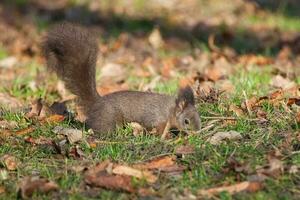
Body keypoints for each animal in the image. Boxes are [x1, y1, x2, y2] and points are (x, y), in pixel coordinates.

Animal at [41, 23, 202, 136]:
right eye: (186, 121)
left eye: (198, 117)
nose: (197, 133)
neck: (171, 110)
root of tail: (97, 103)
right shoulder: (157, 118)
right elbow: (158, 129)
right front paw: (166, 137)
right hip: (108, 119)